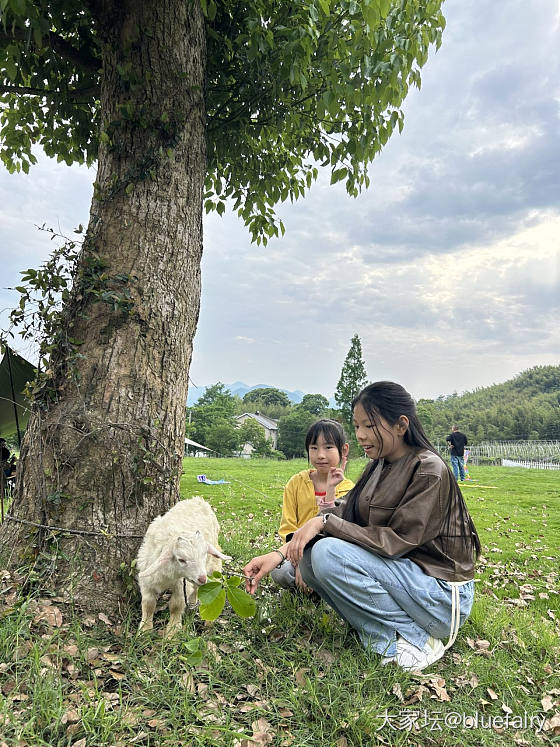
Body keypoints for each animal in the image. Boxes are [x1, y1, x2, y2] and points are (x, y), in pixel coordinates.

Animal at [136, 496, 230, 636]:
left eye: (204, 554)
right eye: (181, 559)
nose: (202, 578)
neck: (168, 576)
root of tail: (198, 499)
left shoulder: (181, 585)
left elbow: (176, 605)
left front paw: (172, 632)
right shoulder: (147, 580)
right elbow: (148, 604)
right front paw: (145, 630)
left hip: (213, 564)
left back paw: (208, 622)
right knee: (196, 589)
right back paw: (192, 605)